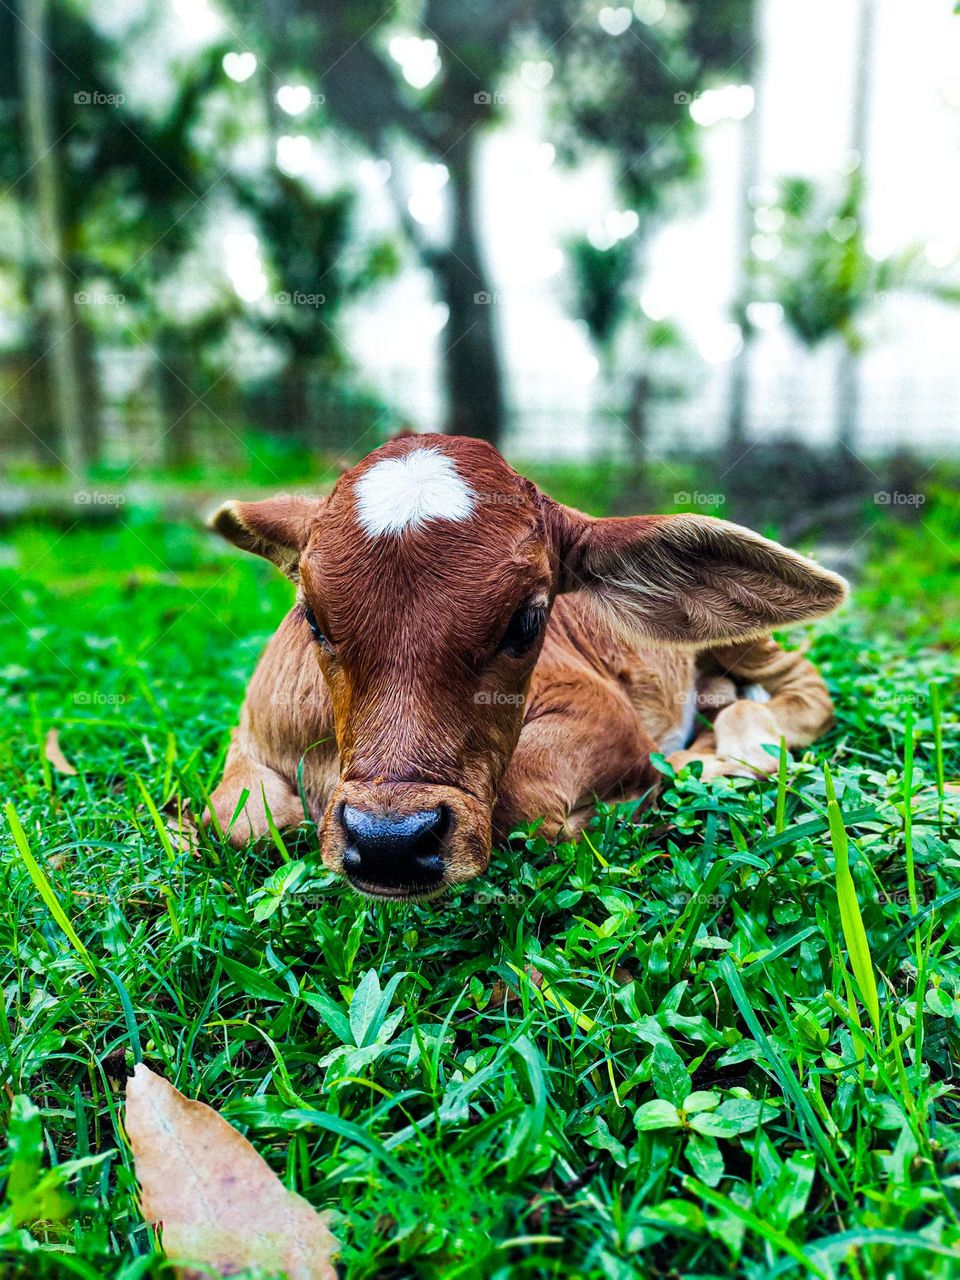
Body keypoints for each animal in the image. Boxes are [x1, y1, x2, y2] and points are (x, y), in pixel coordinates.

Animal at [205, 433, 846, 901]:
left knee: (802, 688)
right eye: (312, 617)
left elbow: (526, 804)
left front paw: (639, 797)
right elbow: (244, 817)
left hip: (749, 644)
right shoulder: (250, 733)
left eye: (526, 621)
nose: (391, 843)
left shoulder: (603, 716)